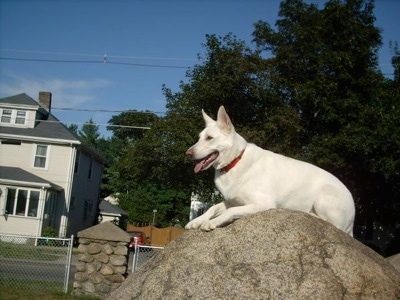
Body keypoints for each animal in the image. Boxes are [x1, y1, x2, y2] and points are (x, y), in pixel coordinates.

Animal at [186, 105, 354, 234]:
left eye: (209, 138)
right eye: (199, 138)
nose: (187, 153)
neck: (236, 161)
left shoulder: (263, 204)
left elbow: (230, 211)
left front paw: (212, 222)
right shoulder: (233, 201)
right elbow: (213, 207)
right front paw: (197, 221)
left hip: (325, 195)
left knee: (332, 225)